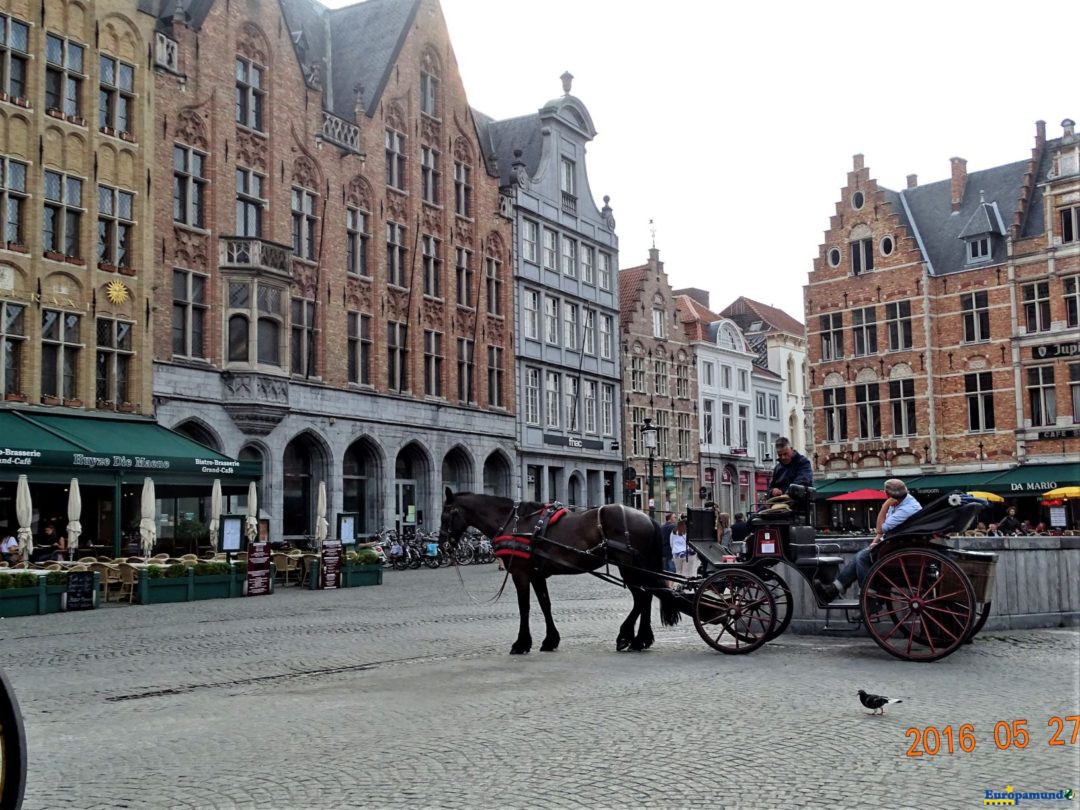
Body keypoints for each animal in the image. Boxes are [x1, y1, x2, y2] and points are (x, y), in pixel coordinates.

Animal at [436, 492, 673, 656]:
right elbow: (545, 604)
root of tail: (647, 518)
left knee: (642, 597)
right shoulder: (536, 574)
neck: (515, 523)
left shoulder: (520, 573)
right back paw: (640, 639)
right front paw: (550, 640)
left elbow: (524, 607)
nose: (442, 547)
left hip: (628, 567)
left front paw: (521, 643)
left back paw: (627, 637)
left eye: (445, 516)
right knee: (646, 596)